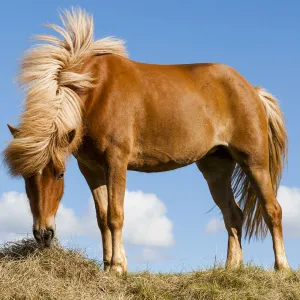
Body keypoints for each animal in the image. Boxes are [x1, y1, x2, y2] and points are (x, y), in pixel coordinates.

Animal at [3, 8, 290, 274]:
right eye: (26, 176)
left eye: (60, 174)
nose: (44, 235)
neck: (96, 92)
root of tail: (252, 90)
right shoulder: (91, 168)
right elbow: (102, 217)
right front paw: (108, 266)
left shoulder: (116, 161)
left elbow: (116, 215)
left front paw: (118, 267)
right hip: (215, 167)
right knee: (233, 214)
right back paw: (231, 268)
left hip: (254, 162)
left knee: (272, 209)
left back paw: (282, 267)